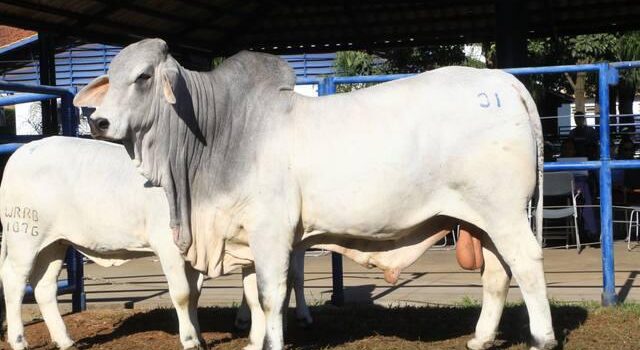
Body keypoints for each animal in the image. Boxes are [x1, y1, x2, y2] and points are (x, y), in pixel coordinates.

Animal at [74, 38, 556, 350]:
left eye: (143, 77)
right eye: (110, 76)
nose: (97, 121)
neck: (220, 131)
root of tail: (505, 83)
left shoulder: (271, 232)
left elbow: (271, 295)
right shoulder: (247, 236)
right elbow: (254, 295)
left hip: (504, 212)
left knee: (527, 264)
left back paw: (542, 339)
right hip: (482, 219)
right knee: (497, 275)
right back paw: (480, 338)